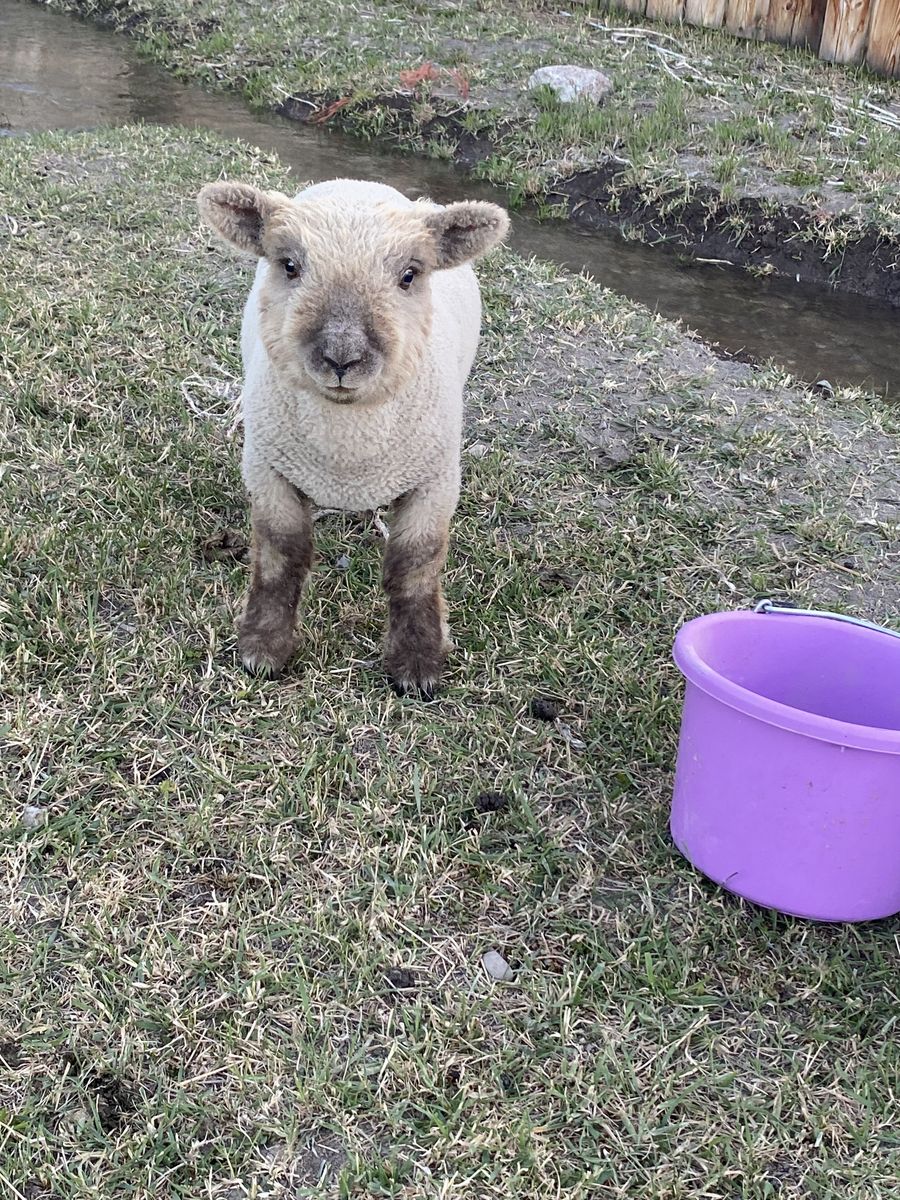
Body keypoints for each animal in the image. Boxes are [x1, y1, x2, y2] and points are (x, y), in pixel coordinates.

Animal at [197, 177, 509, 698]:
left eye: (410, 275)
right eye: (289, 265)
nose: (342, 358)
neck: (346, 454)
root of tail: (357, 183)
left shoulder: (435, 480)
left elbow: (415, 565)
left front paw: (417, 663)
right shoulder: (268, 469)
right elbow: (280, 554)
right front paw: (264, 646)